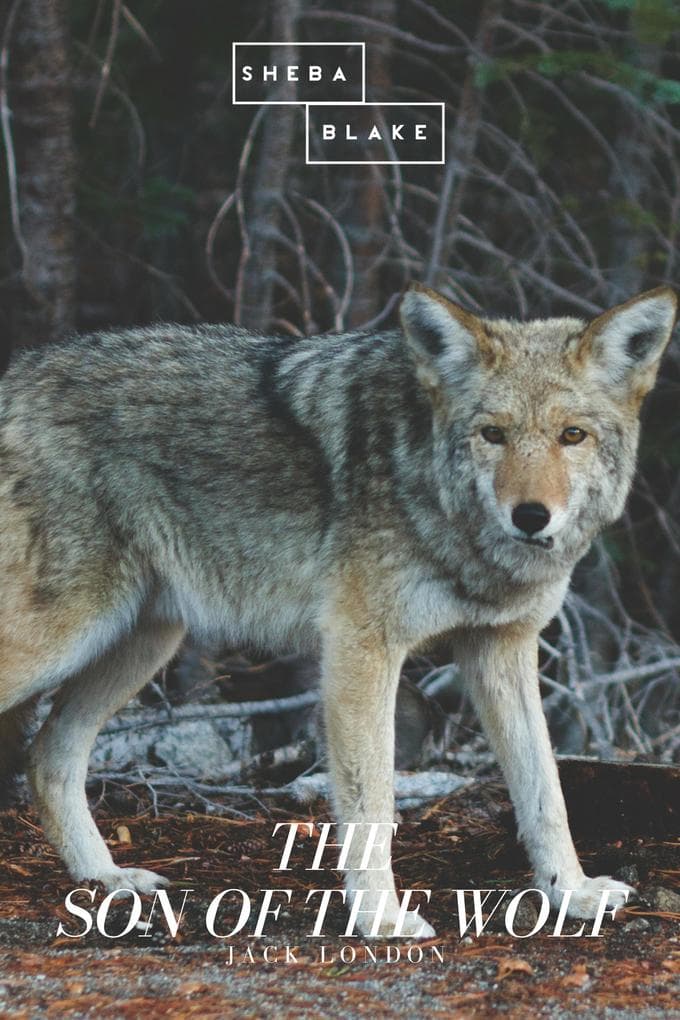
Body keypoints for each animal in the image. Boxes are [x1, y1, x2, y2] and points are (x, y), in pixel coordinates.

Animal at [0, 282, 675, 938]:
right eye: (494, 434)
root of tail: (16, 372)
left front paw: (573, 894)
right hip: (67, 639)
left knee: (47, 757)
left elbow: (546, 791)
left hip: (143, 642)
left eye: (572, 436)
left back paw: (107, 878)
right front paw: (380, 918)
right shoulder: (361, 648)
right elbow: (371, 799)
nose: (531, 516)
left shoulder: (501, 648)